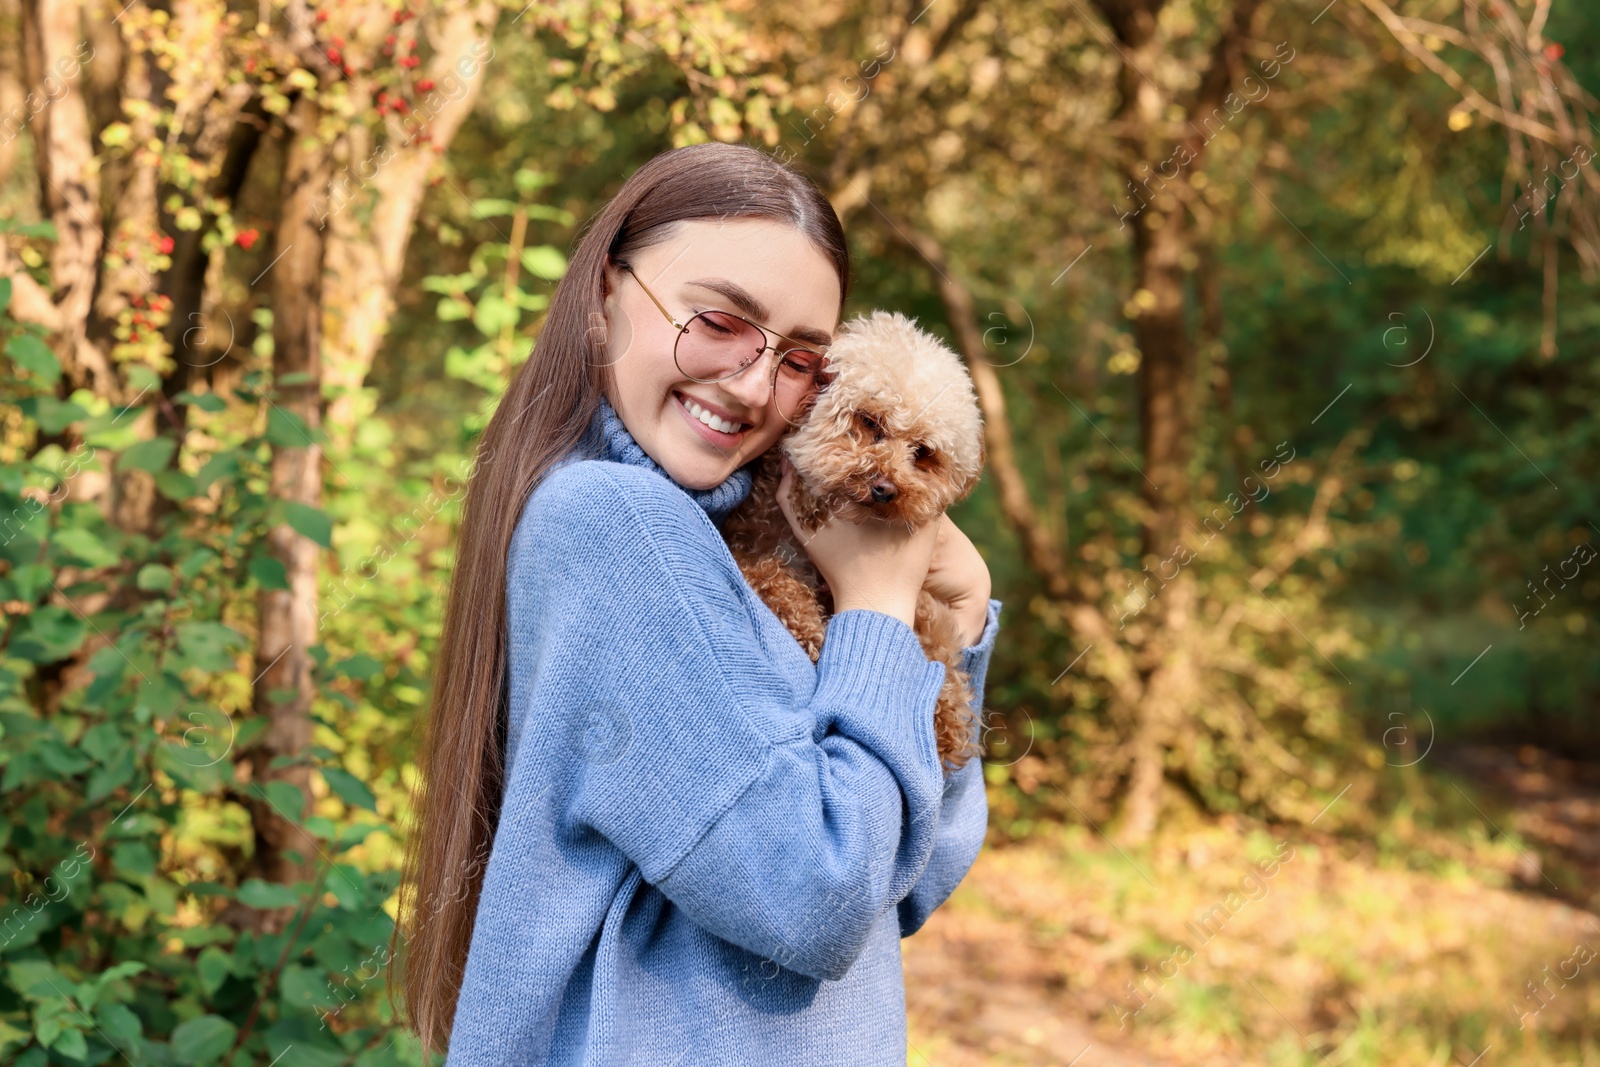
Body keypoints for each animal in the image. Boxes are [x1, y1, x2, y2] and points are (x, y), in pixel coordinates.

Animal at [726, 307, 985, 767]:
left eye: (923, 453)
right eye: (869, 421)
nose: (885, 488)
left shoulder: (921, 599)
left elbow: (934, 642)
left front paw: (948, 718)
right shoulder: (750, 542)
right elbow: (770, 575)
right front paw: (808, 628)